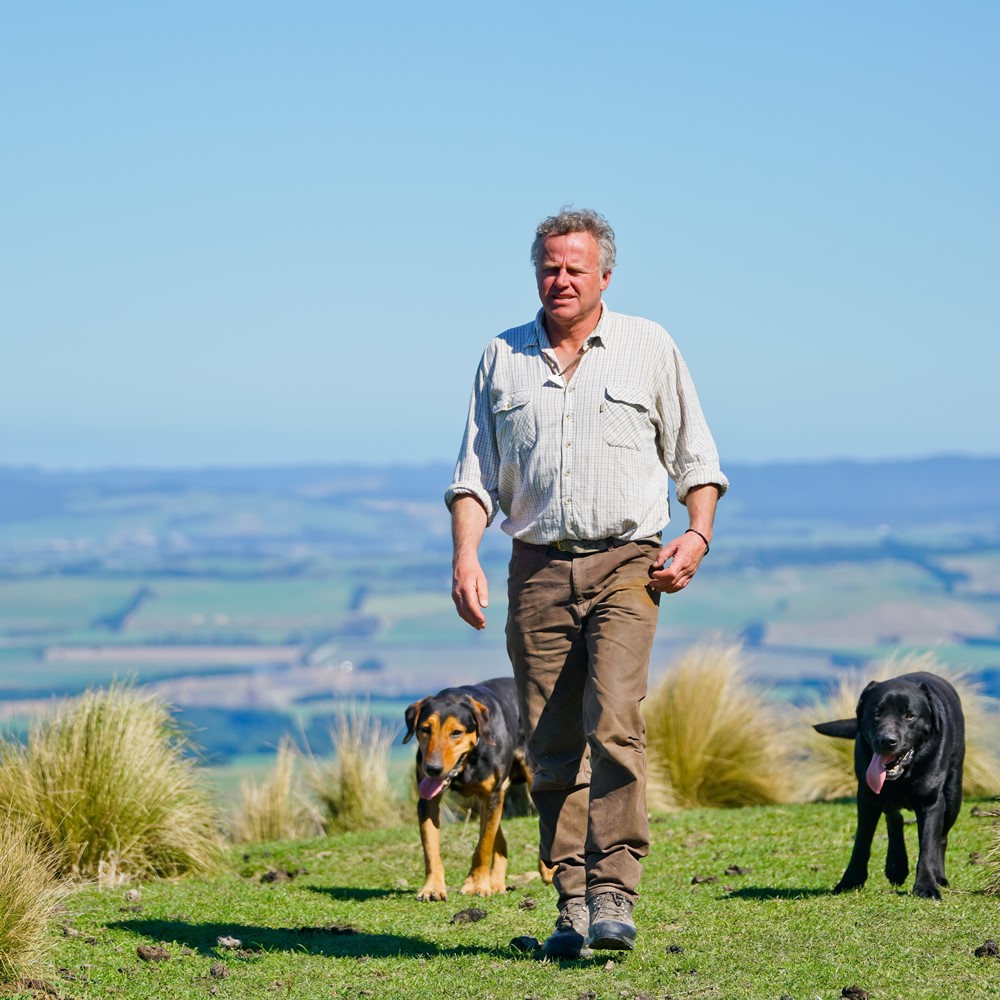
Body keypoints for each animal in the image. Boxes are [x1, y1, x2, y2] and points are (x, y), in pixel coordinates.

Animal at [402, 676, 552, 904]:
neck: (468, 761)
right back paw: (497, 883)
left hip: (533, 775)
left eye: (456, 733)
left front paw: (476, 885)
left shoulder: (492, 795)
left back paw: (547, 870)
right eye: (425, 729)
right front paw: (432, 887)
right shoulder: (429, 801)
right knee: (501, 841)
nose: (432, 769)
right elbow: (430, 848)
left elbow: (483, 846)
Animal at [816, 672, 964, 900]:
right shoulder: (867, 798)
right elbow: (862, 842)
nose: (888, 740)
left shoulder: (930, 802)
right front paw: (850, 881)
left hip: (953, 796)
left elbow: (928, 845)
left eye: (910, 716)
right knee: (894, 817)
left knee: (941, 837)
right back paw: (897, 866)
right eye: (876, 713)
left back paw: (938, 877)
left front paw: (926, 886)